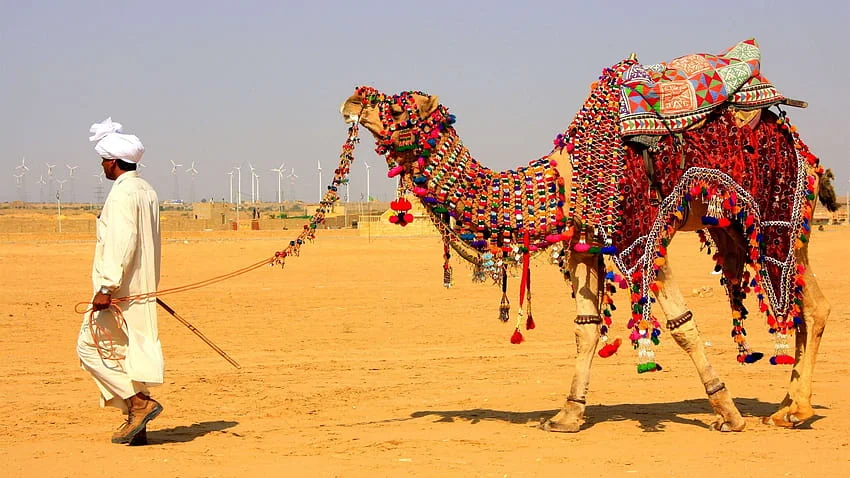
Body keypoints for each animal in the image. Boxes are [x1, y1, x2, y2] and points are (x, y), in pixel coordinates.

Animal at [339, 40, 837, 432]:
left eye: (398, 106)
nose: (352, 98)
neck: (564, 180)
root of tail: (810, 158)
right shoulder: (585, 246)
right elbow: (585, 327)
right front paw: (567, 415)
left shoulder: (642, 236)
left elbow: (682, 325)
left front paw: (728, 413)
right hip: (738, 228)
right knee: (798, 305)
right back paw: (789, 406)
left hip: (779, 220)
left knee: (810, 305)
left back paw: (794, 411)